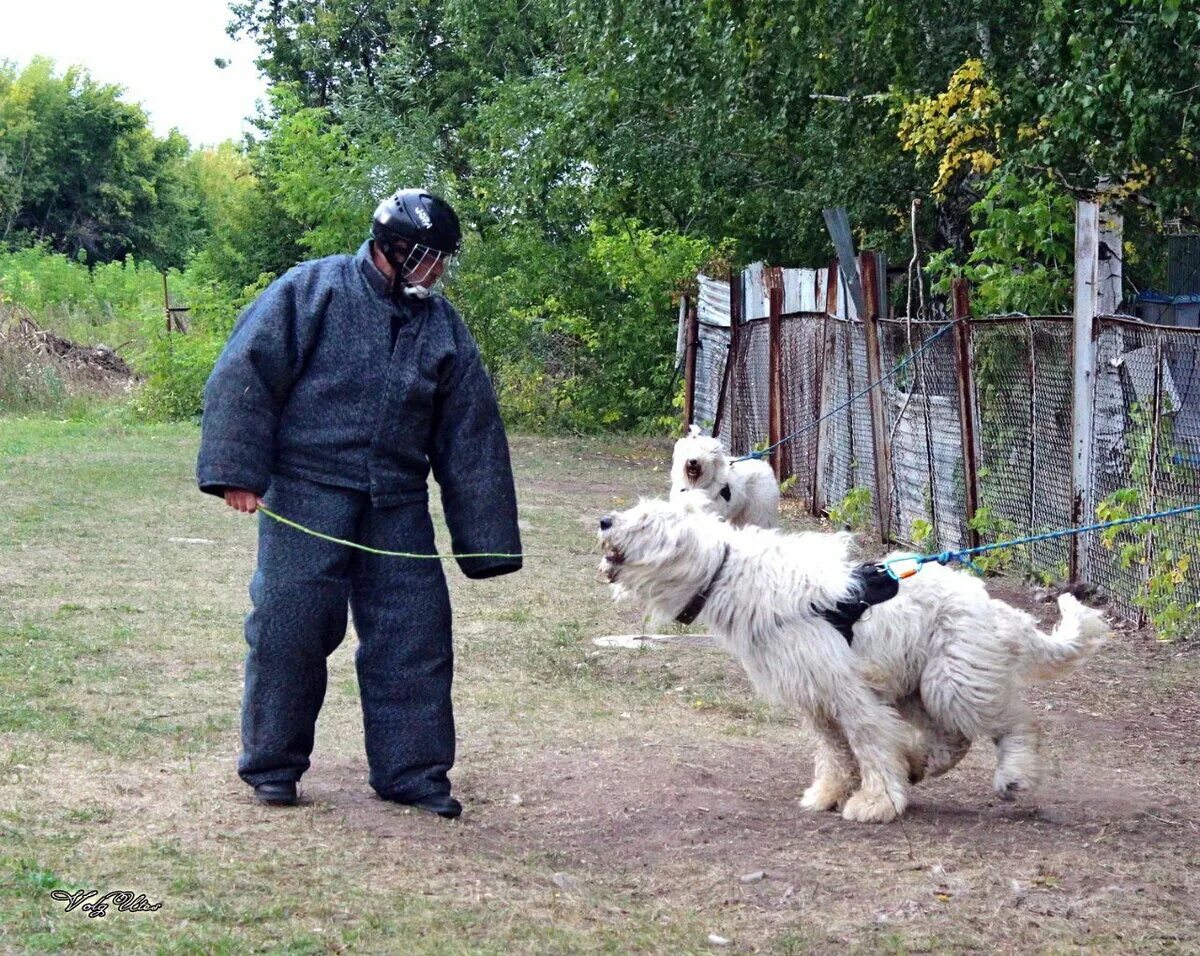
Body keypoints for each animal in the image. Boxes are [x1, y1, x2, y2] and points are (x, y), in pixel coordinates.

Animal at [595, 498, 1108, 820]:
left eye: (644, 521)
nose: (603, 521)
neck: (726, 573)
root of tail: (1000, 610)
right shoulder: (813, 694)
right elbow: (834, 750)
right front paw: (829, 793)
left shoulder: (848, 690)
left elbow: (866, 743)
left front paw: (876, 803)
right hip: (917, 688)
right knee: (953, 740)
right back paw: (916, 763)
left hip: (953, 683)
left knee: (1016, 726)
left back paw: (1013, 777)